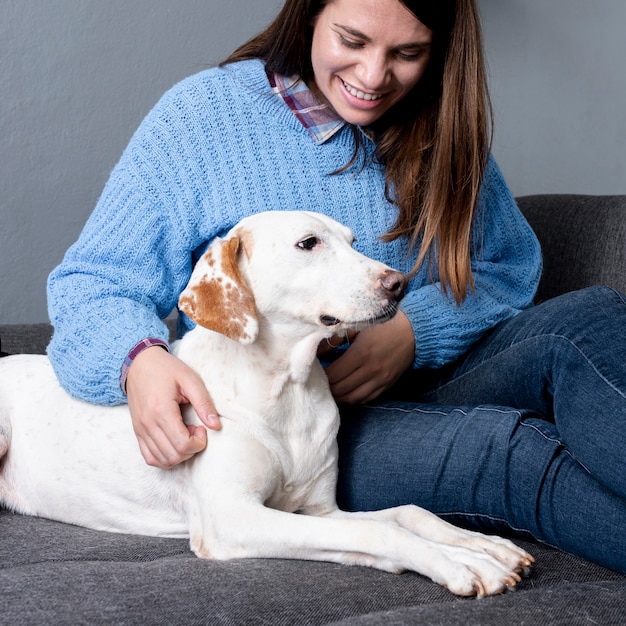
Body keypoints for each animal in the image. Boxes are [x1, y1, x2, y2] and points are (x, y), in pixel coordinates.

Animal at [0, 210, 532, 596]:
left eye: (352, 241)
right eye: (308, 243)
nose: (398, 282)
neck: (285, 390)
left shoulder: (321, 513)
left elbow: (408, 514)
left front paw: (484, 546)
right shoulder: (235, 520)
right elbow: (383, 532)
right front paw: (463, 563)